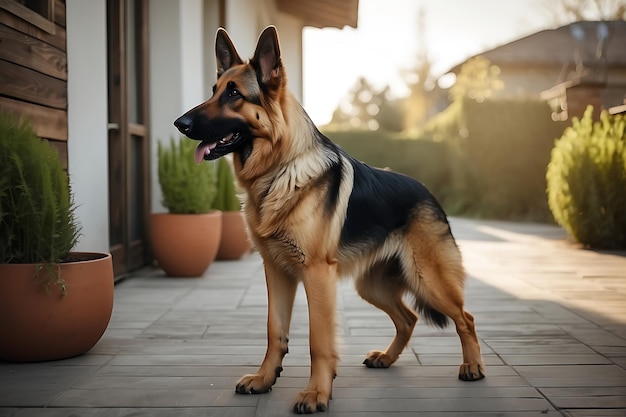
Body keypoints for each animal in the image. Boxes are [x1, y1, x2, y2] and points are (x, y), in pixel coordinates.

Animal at [173, 26, 486, 412]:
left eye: (234, 94)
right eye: (214, 90)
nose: (179, 124)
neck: (278, 170)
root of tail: (427, 192)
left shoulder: (317, 274)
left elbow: (318, 341)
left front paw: (317, 394)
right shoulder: (276, 272)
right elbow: (274, 330)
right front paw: (265, 379)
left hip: (429, 279)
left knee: (465, 318)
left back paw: (473, 366)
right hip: (372, 286)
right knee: (408, 318)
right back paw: (387, 358)